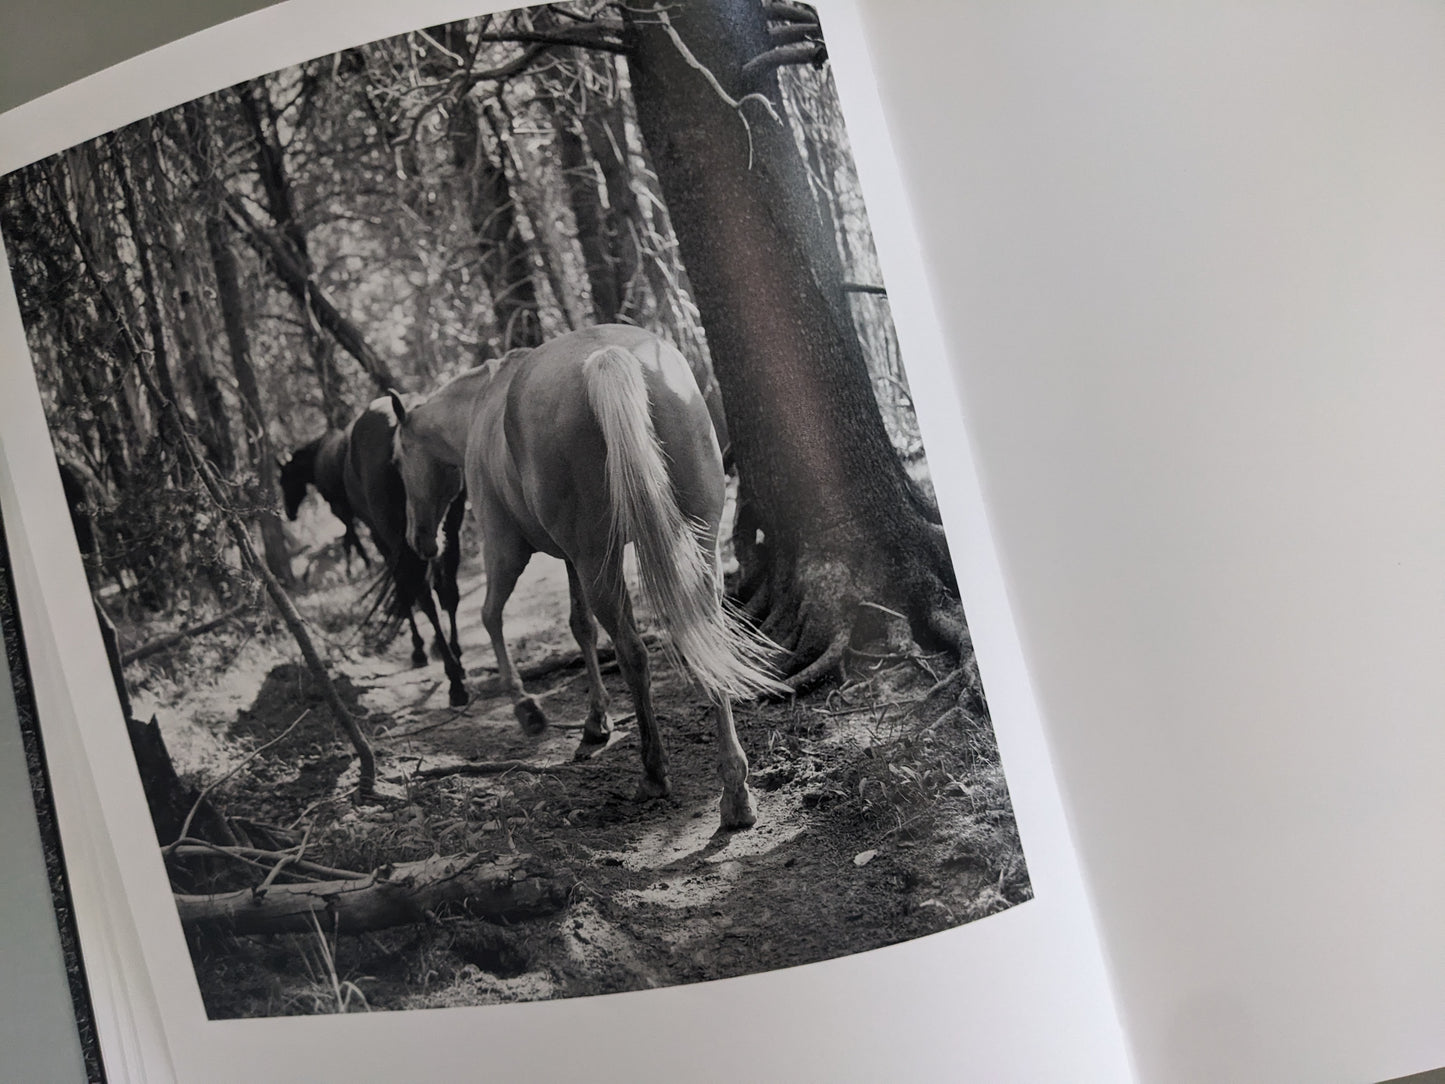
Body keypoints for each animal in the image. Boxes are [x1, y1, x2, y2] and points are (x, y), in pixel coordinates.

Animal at [281, 410, 471, 708]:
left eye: (284, 481)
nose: (288, 513)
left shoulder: (364, 526)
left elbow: (356, 546)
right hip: (446, 530)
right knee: (447, 590)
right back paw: (457, 662)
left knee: (422, 597)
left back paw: (451, 680)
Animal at [389, 324, 783, 830]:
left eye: (399, 462)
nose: (418, 540)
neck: (482, 408)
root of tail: (609, 358)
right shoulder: (572, 561)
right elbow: (582, 628)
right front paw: (596, 721)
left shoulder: (508, 550)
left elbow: (492, 616)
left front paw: (526, 706)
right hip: (692, 545)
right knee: (705, 636)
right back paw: (735, 791)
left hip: (596, 561)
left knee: (633, 653)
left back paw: (654, 773)